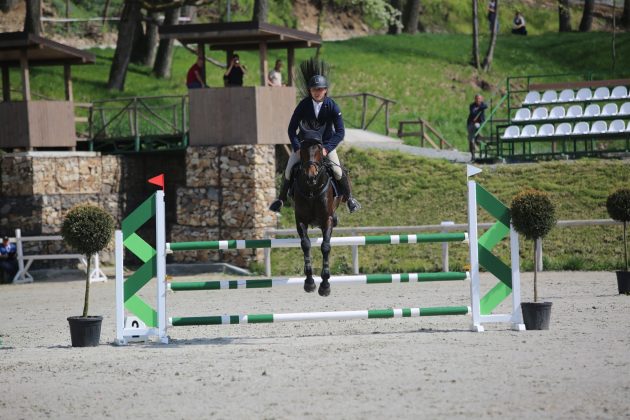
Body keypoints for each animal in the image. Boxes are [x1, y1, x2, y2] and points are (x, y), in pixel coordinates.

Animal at [291, 122, 343, 296]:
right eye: (302, 148)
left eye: (319, 149)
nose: (310, 176)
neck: (312, 189)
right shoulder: (300, 220)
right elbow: (306, 244)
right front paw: (309, 282)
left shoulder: (326, 219)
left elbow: (325, 247)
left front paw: (325, 285)